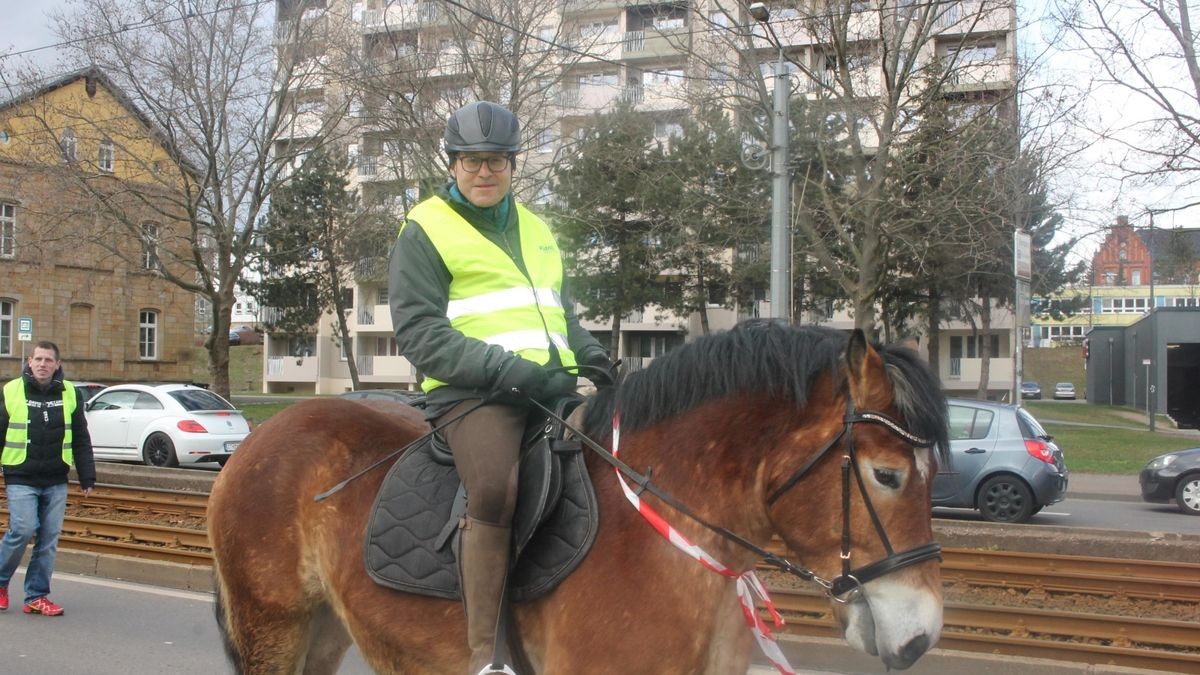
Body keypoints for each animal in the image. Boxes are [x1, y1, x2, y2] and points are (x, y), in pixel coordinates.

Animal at [211, 321, 950, 672]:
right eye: (888, 474)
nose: (920, 637)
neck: (665, 536)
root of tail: (259, 435)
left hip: (325, 629)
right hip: (272, 626)